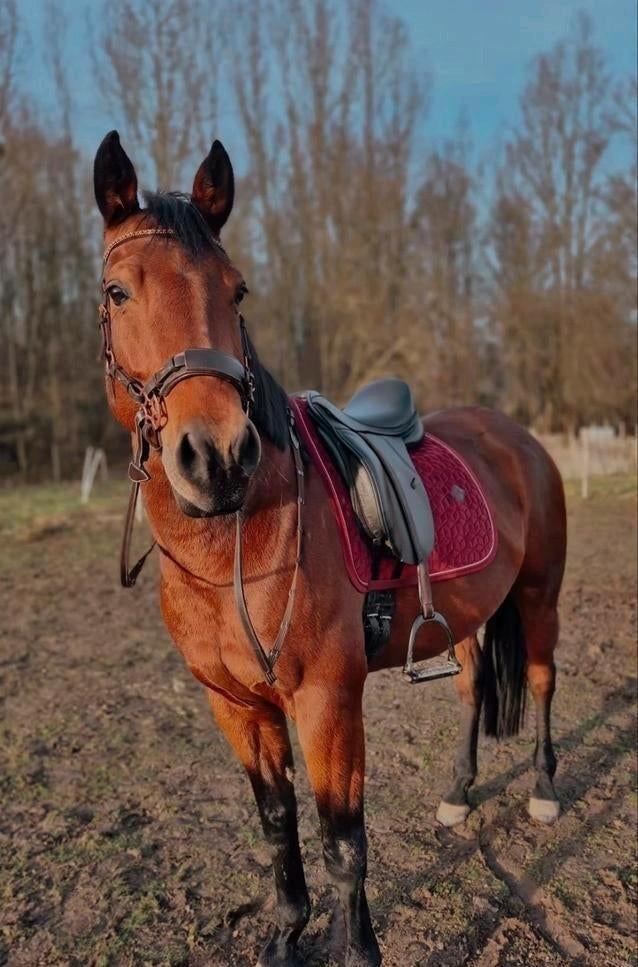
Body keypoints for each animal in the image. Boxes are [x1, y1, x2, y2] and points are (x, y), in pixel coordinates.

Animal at [93, 130, 567, 967]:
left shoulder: (326, 699)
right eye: (119, 291)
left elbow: (344, 839)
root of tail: (517, 436)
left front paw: (358, 949)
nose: (217, 457)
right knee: (475, 688)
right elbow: (278, 825)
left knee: (540, 683)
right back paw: (457, 793)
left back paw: (542, 791)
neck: (242, 544)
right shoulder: (237, 705)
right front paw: (286, 932)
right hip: (470, 615)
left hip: (540, 594)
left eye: (237, 290)